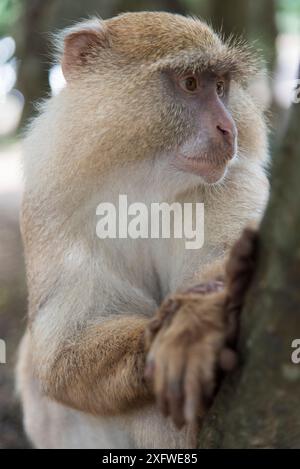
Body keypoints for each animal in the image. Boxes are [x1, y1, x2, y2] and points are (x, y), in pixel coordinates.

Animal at [16, 12, 270, 448]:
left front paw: (195, 324)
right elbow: (62, 350)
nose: (228, 128)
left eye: (220, 86)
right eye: (190, 83)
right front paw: (168, 338)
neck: (142, 186)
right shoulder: (50, 207)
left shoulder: (234, 181)